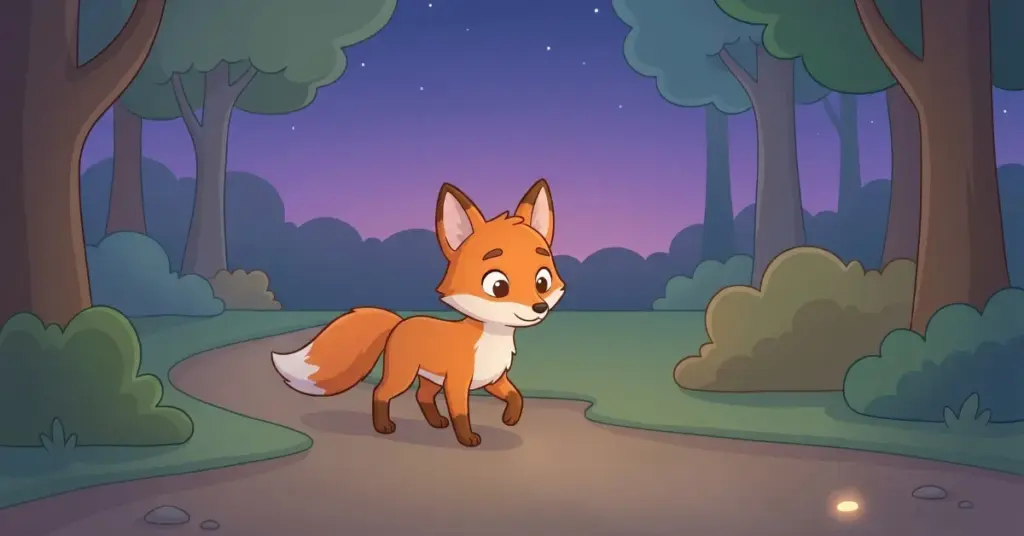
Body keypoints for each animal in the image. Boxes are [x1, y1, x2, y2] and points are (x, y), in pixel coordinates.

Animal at [271, 179, 565, 447]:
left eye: (542, 281)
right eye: (498, 286)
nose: (539, 307)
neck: (490, 339)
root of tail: (400, 321)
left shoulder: (494, 380)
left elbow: (516, 396)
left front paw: (510, 418)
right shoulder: (457, 383)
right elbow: (461, 413)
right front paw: (467, 438)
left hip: (429, 379)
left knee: (421, 397)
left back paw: (435, 422)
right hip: (404, 376)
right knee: (381, 392)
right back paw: (384, 426)